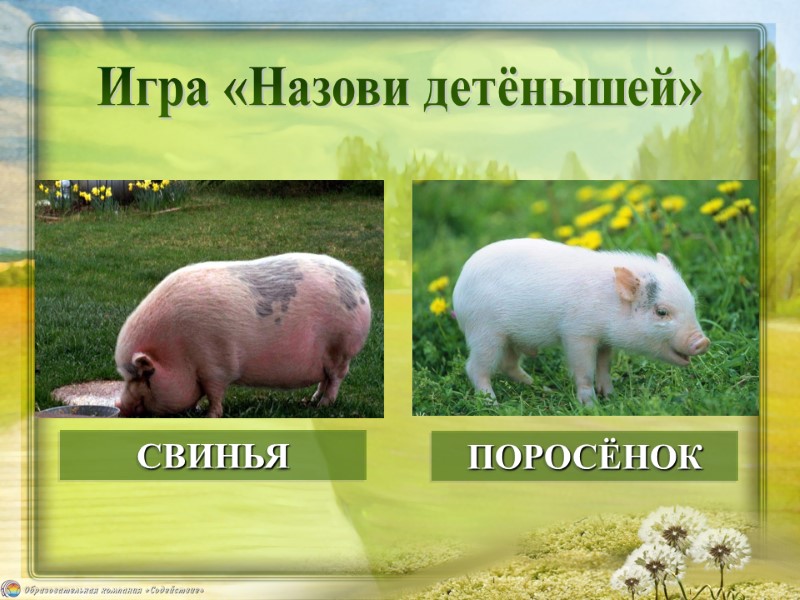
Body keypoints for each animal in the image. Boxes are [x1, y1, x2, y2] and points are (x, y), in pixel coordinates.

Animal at [115, 253, 371, 417]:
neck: (177, 352)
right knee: (325, 379)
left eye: (145, 376)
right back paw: (310, 400)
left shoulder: (215, 365)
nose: (120, 406)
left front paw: (208, 416)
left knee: (336, 378)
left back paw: (322, 407)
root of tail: (358, 283)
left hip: (340, 346)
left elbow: (215, 393)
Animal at [452, 238, 709, 406]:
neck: (610, 304)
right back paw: (492, 404)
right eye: (662, 312)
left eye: (692, 304)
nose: (703, 342)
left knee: (508, 364)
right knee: (475, 368)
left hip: (509, 338)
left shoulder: (605, 338)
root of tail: (458, 289)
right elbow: (584, 370)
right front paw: (591, 406)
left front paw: (611, 396)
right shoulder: (577, 333)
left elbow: (604, 366)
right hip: (484, 332)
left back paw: (539, 386)